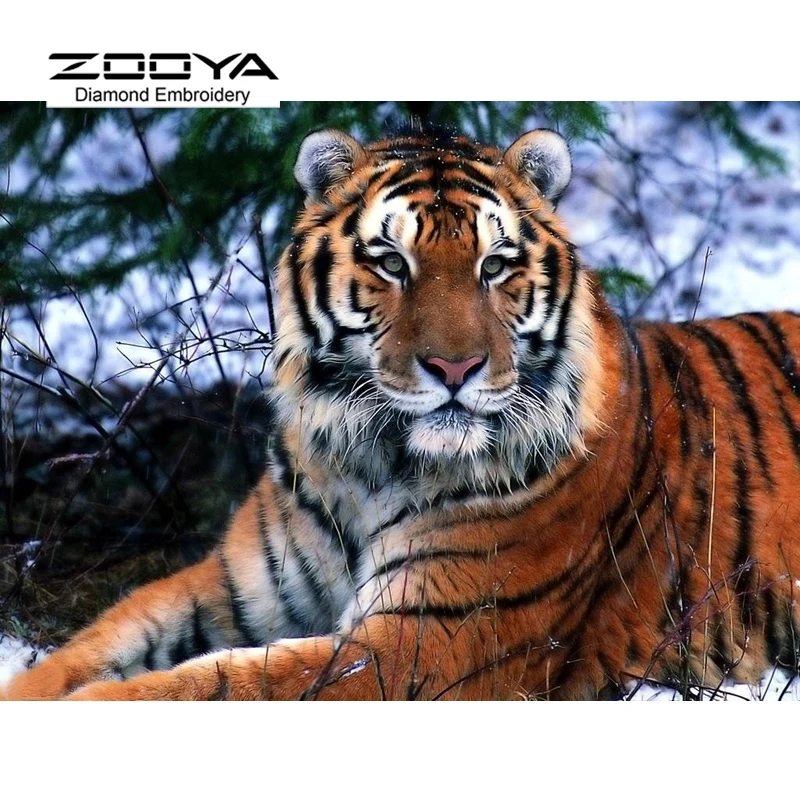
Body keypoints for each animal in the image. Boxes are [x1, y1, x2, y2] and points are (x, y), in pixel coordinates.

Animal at [3, 125, 800, 701]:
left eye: (494, 266)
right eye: (391, 263)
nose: (455, 369)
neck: (368, 462)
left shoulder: (427, 640)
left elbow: (224, 684)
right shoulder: (232, 588)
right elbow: (96, 642)